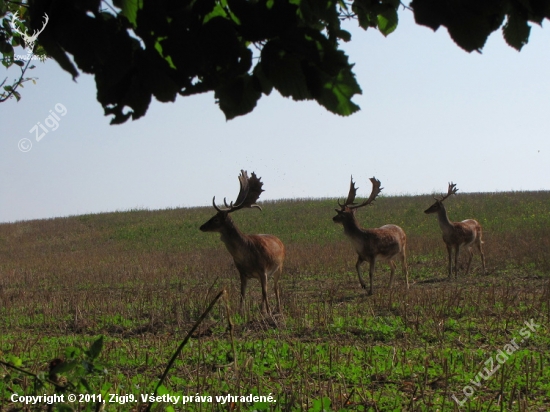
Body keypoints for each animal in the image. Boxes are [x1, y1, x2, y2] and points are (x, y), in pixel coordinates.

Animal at [199, 169, 286, 314]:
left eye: (216, 219)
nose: (201, 227)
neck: (246, 256)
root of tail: (280, 241)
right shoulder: (242, 272)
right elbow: (242, 294)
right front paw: (240, 312)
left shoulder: (263, 270)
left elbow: (264, 292)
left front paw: (269, 313)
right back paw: (262, 309)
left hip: (279, 267)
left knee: (275, 288)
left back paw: (277, 309)